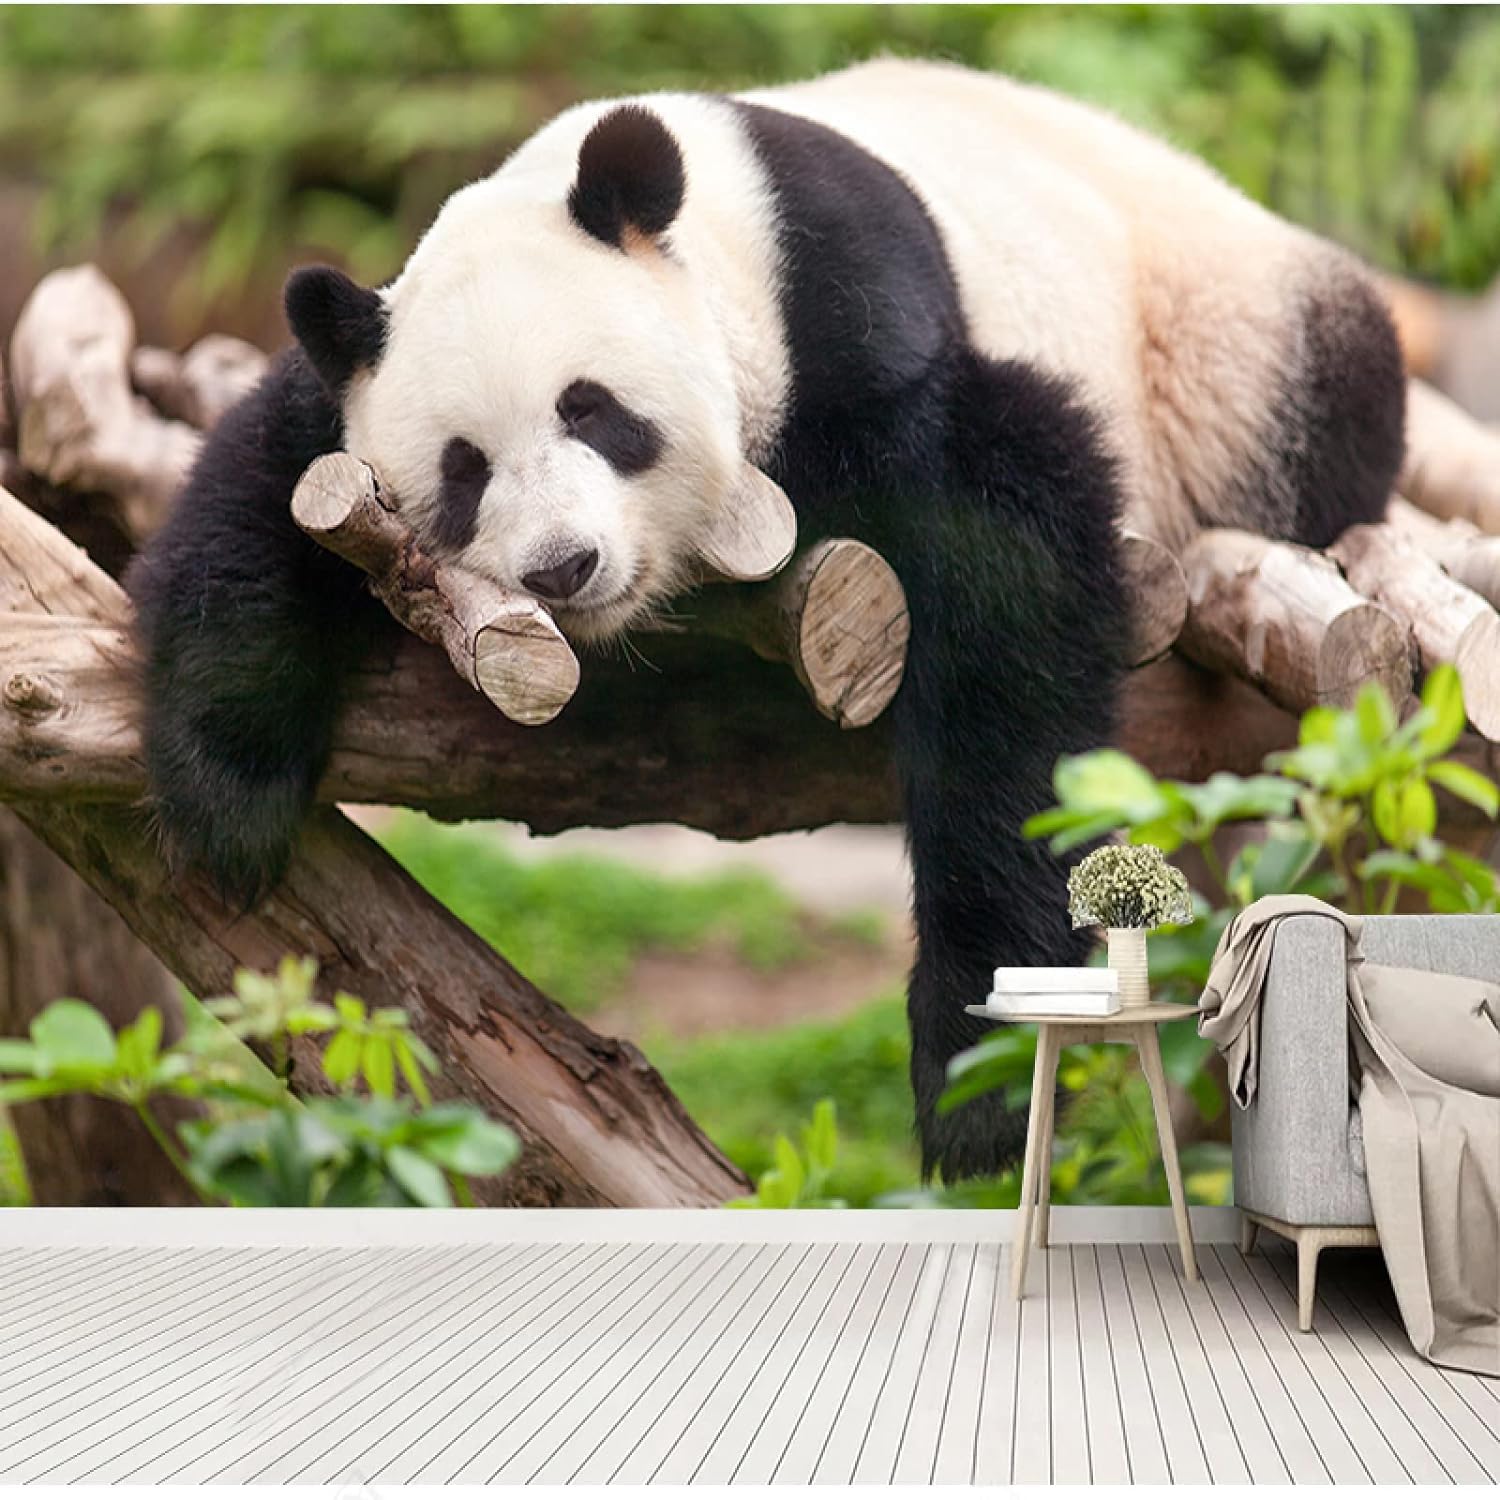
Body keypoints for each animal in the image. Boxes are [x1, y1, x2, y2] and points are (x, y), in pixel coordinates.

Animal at [129, 58, 1404, 1182]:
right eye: (463, 469)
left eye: (592, 411)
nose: (565, 566)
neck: (722, 233)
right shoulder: (352, 375)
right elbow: (265, 480)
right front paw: (231, 798)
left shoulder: (859, 329)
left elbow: (1010, 584)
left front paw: (972, 1080)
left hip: (1230, 343)